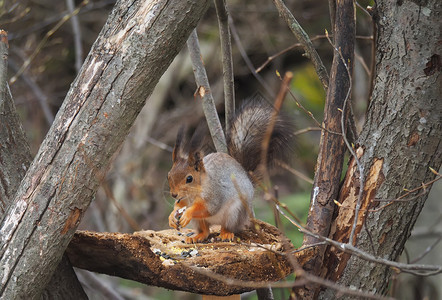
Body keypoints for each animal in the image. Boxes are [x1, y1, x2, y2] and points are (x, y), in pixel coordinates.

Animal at [167, 97, 292, 243]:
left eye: (189, 178)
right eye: (168, 175)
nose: (174, 195)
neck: (195, 192)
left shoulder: (215, 195)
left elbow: (208, 208)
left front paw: (187, 213)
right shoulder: (184, 199)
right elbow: (180, 205)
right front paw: (172, 216)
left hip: (235, 212)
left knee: (228, 226)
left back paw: (226, 234)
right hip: (200, 221)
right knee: (205, 231)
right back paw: (197, 236)